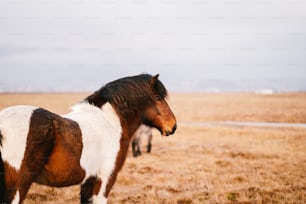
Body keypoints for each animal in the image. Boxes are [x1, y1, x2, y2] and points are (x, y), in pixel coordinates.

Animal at [0, 74, 177, 203]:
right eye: (158, 98)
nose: (173, 125)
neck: (110, 121)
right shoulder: (104, 180)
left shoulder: (88, 182)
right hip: (17, 188)